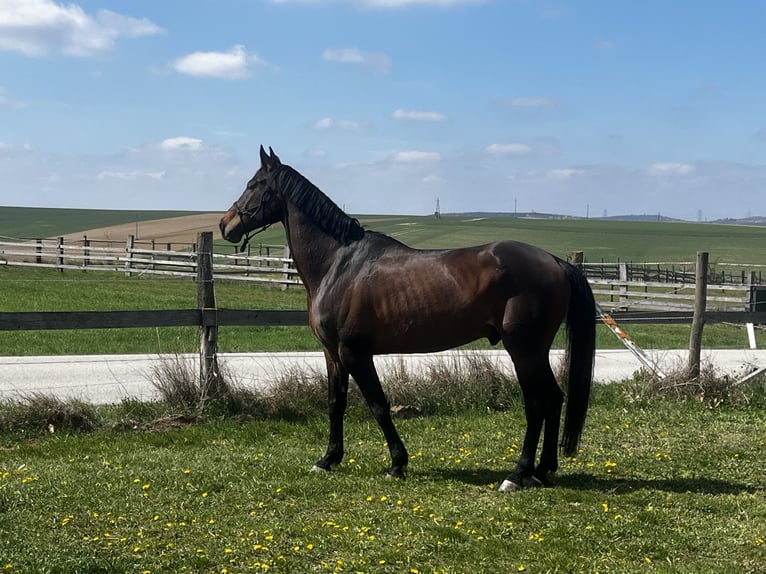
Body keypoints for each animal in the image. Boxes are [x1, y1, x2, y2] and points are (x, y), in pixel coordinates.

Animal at [220, 146, 596, 491]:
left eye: (255, 184)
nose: (225, 224)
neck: (339, 263)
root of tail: (555, 262)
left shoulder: (354, 353)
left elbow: (378, 406)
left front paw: (397, 464)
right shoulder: (332, 354)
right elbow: (335, 404)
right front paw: (327, 459)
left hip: (523, 350)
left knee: (537, 403)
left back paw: (517, 475)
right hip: (535, 351)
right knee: (554, 399)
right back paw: (543, 470)